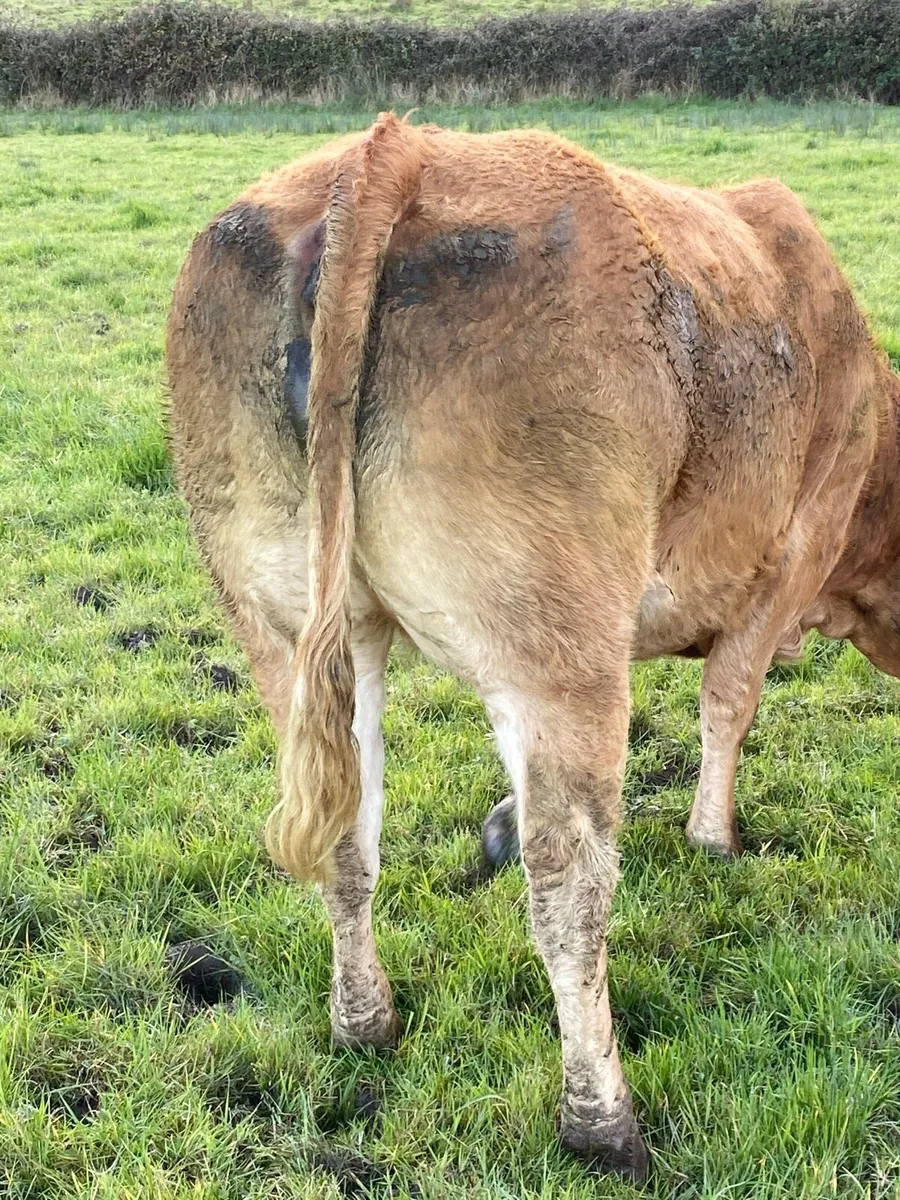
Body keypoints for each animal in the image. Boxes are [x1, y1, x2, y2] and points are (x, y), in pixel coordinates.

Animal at [166, 113, 900, 1179]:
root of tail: (393, 150)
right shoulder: (790, 560)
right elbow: (729, 706)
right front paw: (715, 840)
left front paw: (502, 818)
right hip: (561, 648)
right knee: (570, 887)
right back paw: (602, 1122)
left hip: (295, 630)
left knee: (348, 832)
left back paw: (366, 1024)